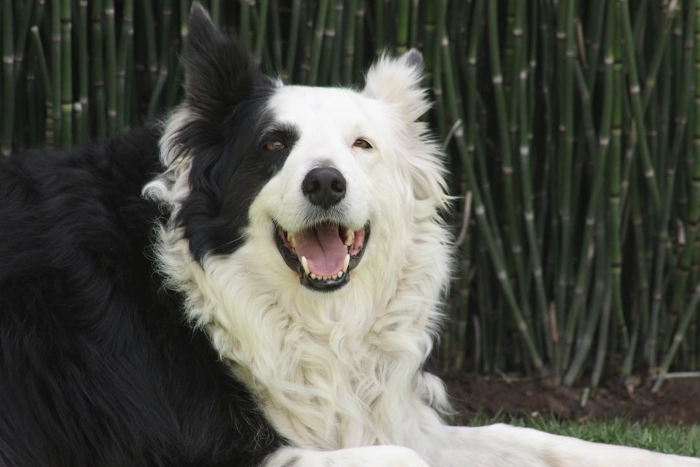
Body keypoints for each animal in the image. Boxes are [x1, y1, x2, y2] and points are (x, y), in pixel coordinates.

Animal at [0, 4, 696, 467]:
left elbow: (537, 436)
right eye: (273, 145)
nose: (325, 184)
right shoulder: (195, 448)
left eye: (362, 145)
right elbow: (403, 458)